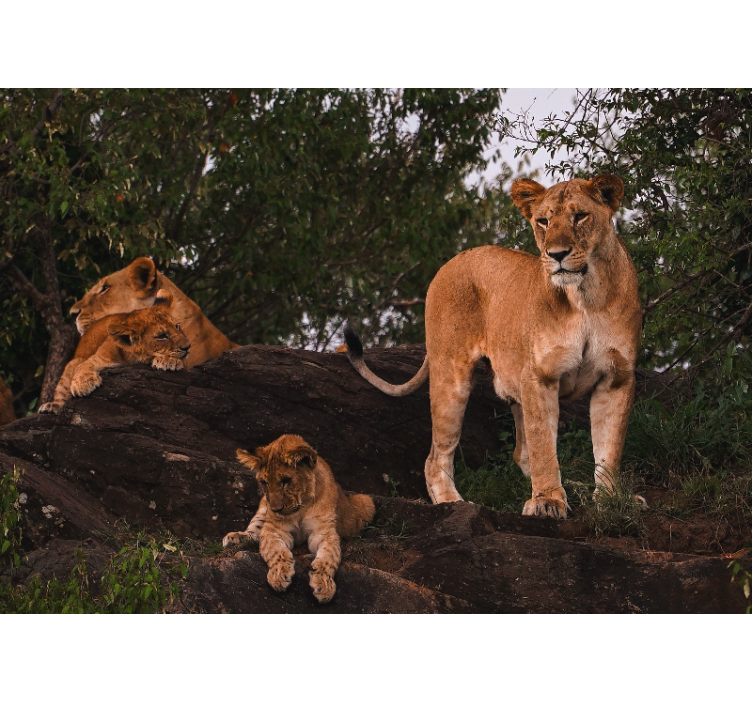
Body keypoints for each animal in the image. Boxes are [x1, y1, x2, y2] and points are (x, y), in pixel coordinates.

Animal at [39, 290, 191, 414]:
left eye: (177, 326)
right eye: (162, 336)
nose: (188, 346)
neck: (133, 357)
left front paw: (169, 361)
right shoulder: (98, 358)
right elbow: (84, 366)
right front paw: (83, 385)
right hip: (71, 365)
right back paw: (51, 406)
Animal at [223, 434, 375, 604]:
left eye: (285, 481)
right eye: (264, 482)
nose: (275, 509)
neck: (301, 506)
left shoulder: (323, 532)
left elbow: (328, 557)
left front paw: (324, 585)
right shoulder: (274, 529)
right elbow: (277, 551)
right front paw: (279, 575)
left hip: (365, 501)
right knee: (255, 531)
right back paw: (234, 538)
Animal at [345, 175, 642, 519]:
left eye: (580, 216)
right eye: (544, 221)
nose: (556, 254)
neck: (585, 297)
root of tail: (451, 261)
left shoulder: (617, 377)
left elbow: (608, 449)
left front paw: (611, 501)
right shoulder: (539, 377)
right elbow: (544, 446)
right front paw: (548, 501)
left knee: (521, 452)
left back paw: (576, 486)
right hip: (452, 377)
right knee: (436, 458)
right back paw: (455, 504)